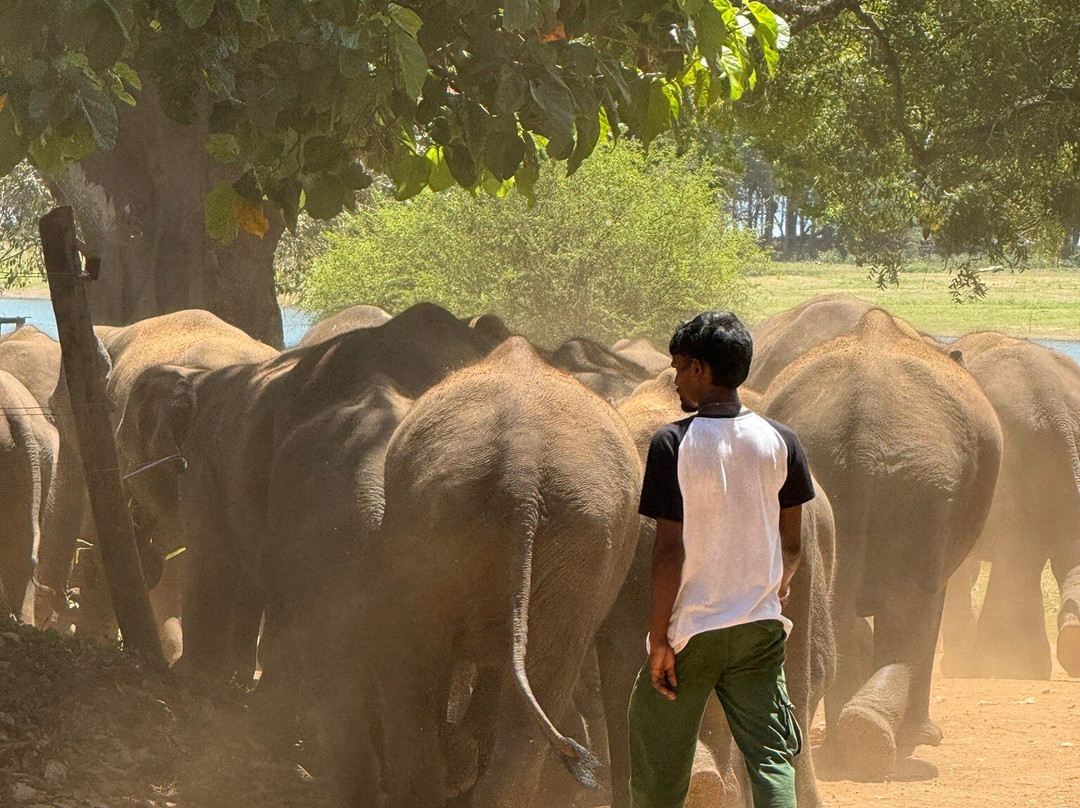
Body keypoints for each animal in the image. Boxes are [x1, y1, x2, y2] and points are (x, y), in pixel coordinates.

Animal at [763, 308, 1001, 780]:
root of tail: (866, 434)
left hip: (889, 479)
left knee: (852, 609)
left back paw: (857, 736)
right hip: (924, 481)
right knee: (911, 608)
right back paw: (879, 738)